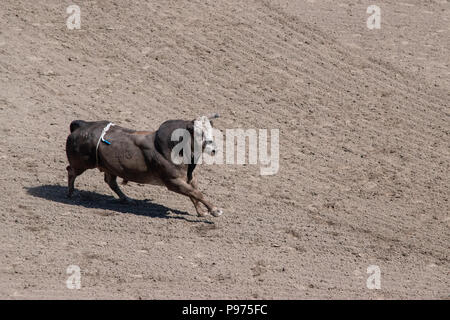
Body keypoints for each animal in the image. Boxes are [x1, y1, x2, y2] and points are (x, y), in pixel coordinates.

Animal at [65, 115, 223, 218]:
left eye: (211, 131)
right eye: (199, 133)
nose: (214, 149)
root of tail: (81, 125)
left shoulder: (189, 177)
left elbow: (194, 193)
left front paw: (201, 212)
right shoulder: (173, 182)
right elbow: (196, 193)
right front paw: (215, 210)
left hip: (110, 167)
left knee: (110, 181)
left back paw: (127, 199)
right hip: (81, 164)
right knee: (71, 171)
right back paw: (72, 193)